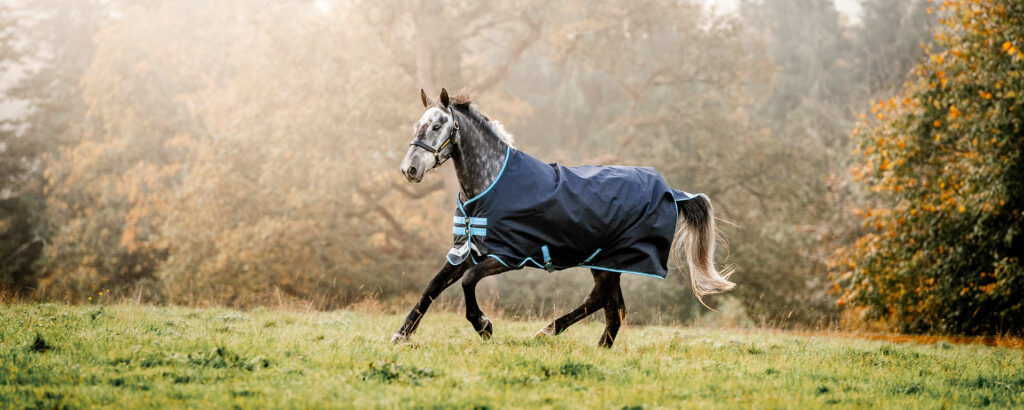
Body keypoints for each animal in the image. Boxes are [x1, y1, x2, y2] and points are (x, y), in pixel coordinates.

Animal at [392, 88, 735, 348]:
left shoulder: (508, 256)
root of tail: (670, 192)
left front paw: (484, 326)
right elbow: (433, 286)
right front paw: (402, 335)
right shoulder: (467, 251)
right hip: (606, 263)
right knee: (612, 308)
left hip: (609, 261)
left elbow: (467, 282)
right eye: (417, 124)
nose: (409, 169)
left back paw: (547, 332)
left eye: (438, 126)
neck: (491, 184)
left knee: (602, 302)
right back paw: (593, 347)